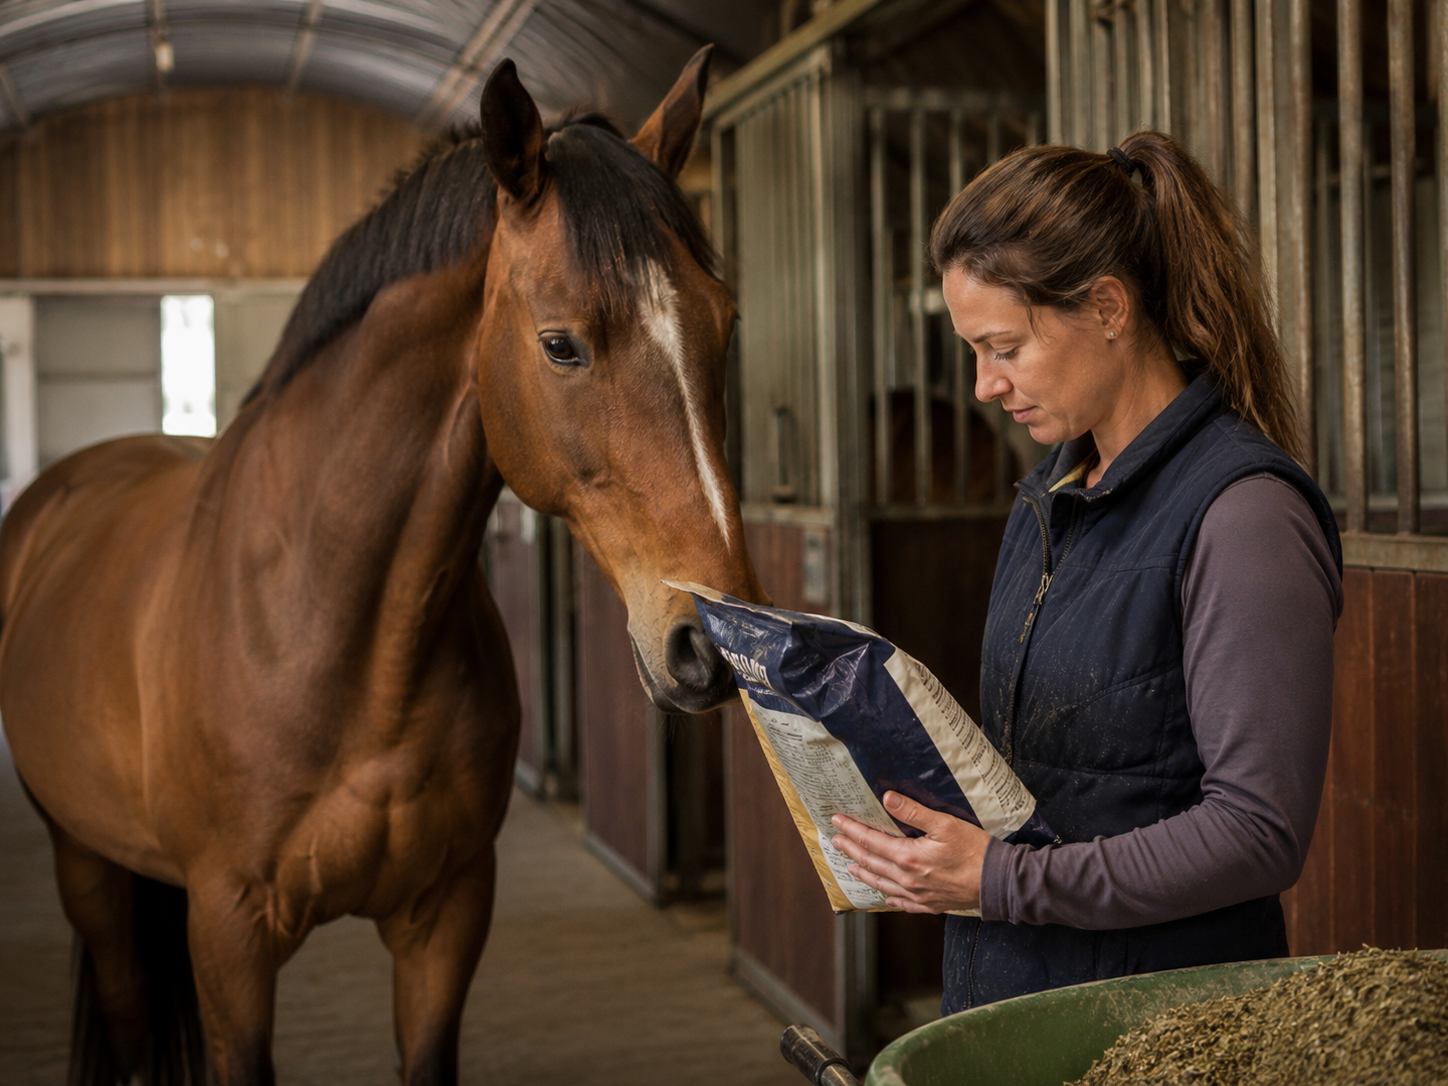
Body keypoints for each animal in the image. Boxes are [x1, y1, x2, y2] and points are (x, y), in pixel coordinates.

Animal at [0, 48, 763, 1086]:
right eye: (561, 343)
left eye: (723, 324)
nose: (712, 645)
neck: (334, 630)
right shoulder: (229, 938)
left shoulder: (446, 918)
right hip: (82, 861)